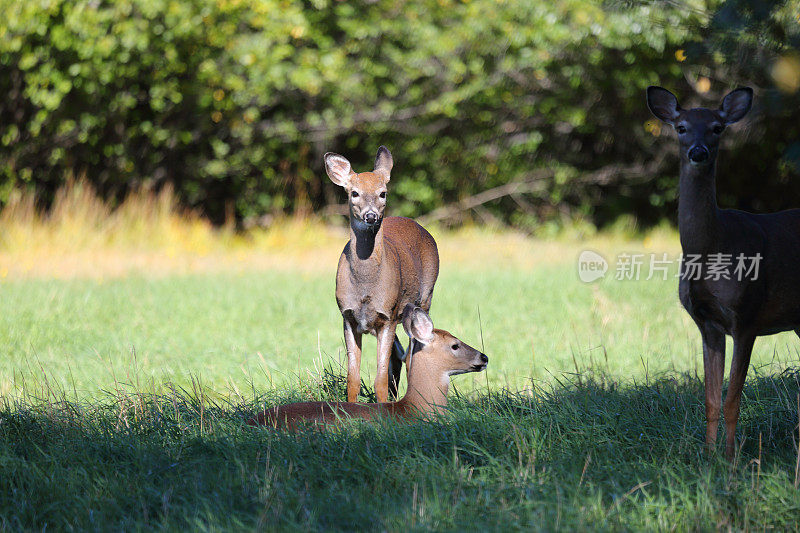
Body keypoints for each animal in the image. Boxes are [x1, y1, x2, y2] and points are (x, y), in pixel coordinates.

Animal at [322, 145, 440, 404]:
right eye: (354, 193)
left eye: (383, 193)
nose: (371, 216)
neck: (366, 286)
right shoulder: (348, 316)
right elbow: (353, 379)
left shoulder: (388, 316)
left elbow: (380, 379)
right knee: (399, 357)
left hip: (425, 297)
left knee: (410, 354)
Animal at [648, 86, 800, 458]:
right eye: (682, 127)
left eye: (717, 128)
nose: (698, 152)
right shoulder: (707, 324)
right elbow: (710, 400)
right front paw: (708, 456)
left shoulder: (747, 316)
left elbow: (733, 401)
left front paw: (731, 460)